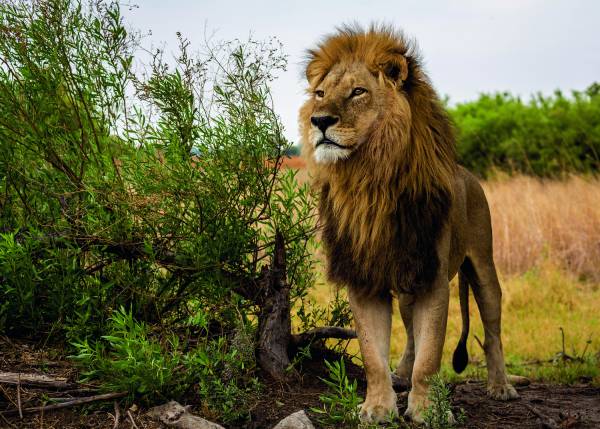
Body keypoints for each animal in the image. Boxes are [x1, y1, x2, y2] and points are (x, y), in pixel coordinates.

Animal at [300, 25, 524, 422]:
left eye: (358, 92)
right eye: (320, 94)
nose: (319, 120)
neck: (369, 181)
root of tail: (468, 173)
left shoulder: (432, 280)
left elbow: (431, 354)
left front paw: (428, 411)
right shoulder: (366, 278)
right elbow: (374, 354)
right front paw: (377, 407)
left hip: (482, 265)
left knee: (492, 330)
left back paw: (501, 386)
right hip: (406, 287)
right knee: (409, 334)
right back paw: (401, 373)